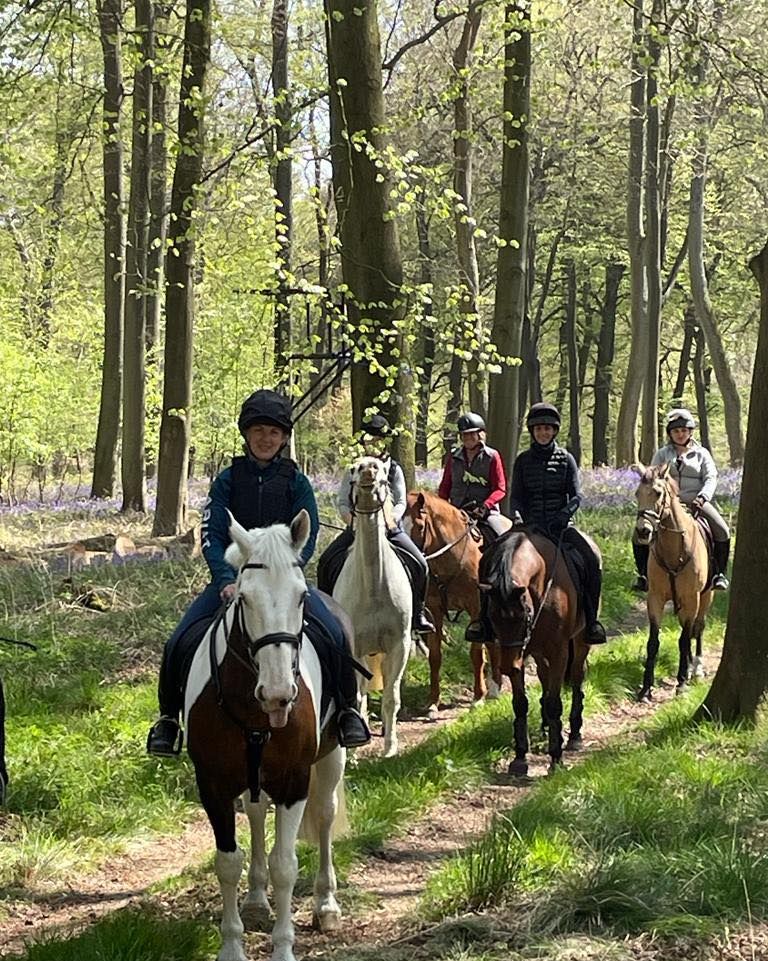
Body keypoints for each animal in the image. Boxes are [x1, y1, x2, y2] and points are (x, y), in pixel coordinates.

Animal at [184, 510, 346, 960]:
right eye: (243, 599)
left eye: (301, 597)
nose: (277, 694)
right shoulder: (214, 785)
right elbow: (228, 862)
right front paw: (232, 947)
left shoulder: (294, 782)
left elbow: (284, 866)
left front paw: (284, 948)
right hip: (251, 777)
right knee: (256, 815)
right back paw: (256, 900)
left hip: (333, 756)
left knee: (325, 815)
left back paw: (326, 904)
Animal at [332, 458, 412, 756]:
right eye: (353, 469)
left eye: (381, 470)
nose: (368, 468)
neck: (374, 588)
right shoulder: (353, 650)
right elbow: (357, 696)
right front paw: (354, 748)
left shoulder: (399, 645)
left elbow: (391, 697)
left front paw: (390, 749)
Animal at [402, 492, 504, 716]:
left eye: (420, 526)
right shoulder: (435, 611)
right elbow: (435, 657)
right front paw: (433, 703)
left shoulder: (475, 609)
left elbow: (476, 655)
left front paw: (478, 698)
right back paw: (496, 685)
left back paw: (494, 688)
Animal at [480, 524, 592, 772]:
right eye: (491, 616)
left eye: (523, 616)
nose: (506, 667)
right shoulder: (518, 653)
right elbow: (520, 704)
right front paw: (520, 757)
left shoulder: (558, 652)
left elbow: (554, 703)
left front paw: (556, 758)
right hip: (537, 652)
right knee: (544, 676)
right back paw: (545, 729)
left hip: (580, 641)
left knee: (577, 676)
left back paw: (574, 735)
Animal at [632, 464, 712, 696]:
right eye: (637, 493)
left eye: (658, 493)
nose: (643, 531)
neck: (674, 550)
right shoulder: (655, 598)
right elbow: (653, 641)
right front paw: (646, 688)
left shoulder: (692, 598)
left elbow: (685, 639)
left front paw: (682, 682)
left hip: (707, 595)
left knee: (698, 627)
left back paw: (697, 669)